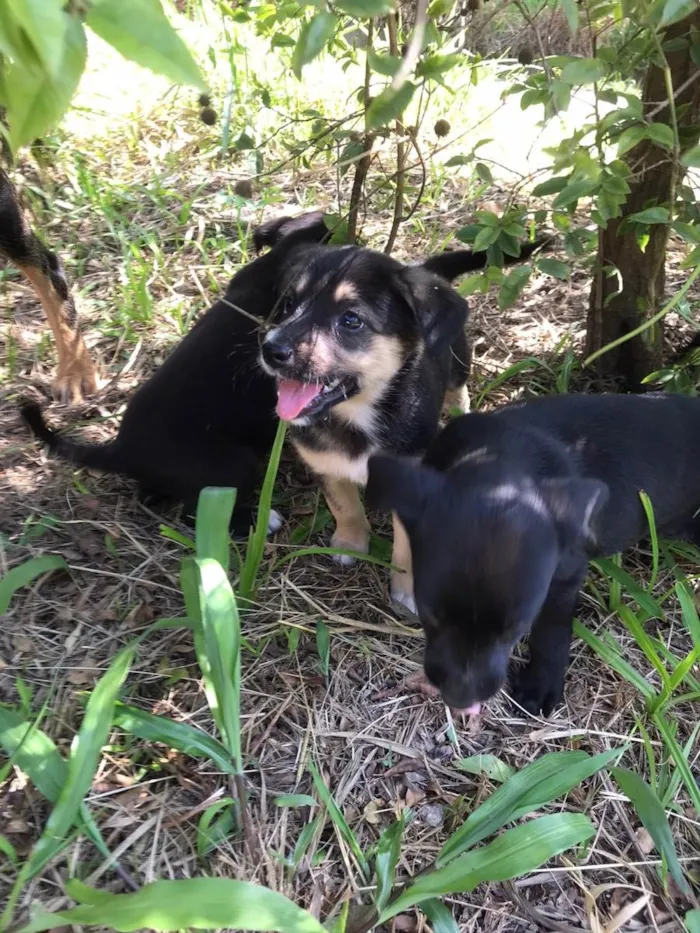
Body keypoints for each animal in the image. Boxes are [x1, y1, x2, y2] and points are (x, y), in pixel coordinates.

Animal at [258, 219, 540, 612]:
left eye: (351, 320)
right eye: (289, 304)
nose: (270, 350)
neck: (361, 417)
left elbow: (407, 545)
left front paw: (407, 590)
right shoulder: (325, 463)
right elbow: (343, 504)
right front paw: (351, 544)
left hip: (458, 361)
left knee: (459, 388)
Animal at [366, 392, 700, 712]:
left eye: (516, 629)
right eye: (429, 615)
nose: (461, 700)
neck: (500, 464)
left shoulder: (565, 575)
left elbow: (551, 630)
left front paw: (541, 685)